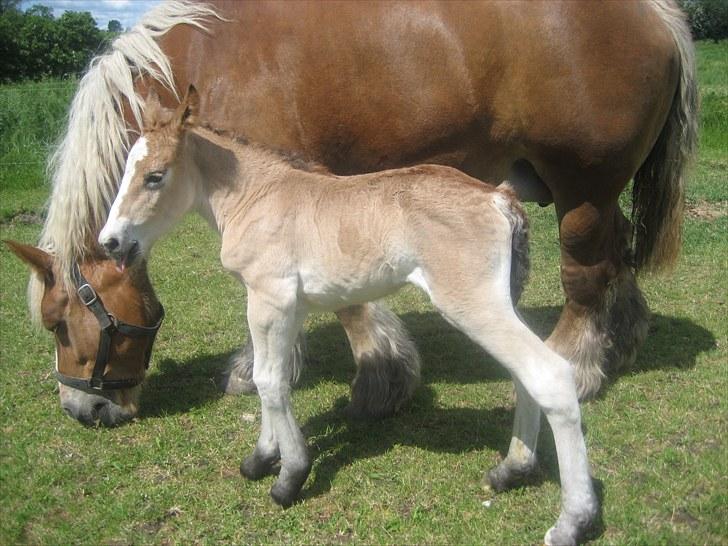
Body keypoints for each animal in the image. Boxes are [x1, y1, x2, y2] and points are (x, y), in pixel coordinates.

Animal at [28, 0, 696, 424]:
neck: (202, 64)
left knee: (585, 274)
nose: (84, 410)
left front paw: (381, 378)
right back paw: (623, 337)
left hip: (582, 191)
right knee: (617, 253)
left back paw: (579, 364)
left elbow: (347, 305)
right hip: (597, 194)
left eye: (59, 323)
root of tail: (654, 13)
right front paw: (259, 365)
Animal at [98, 87, 596, 540]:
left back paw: (572, 520)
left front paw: (290, 477)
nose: (111, 242)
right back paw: (511, 470)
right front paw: (262, 458)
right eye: (126, 170)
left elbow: (267, 380)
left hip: (472, 304)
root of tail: (499, 196)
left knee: (550, 373)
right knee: (523, 373)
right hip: (497, 302)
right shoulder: (283, 305)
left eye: (155, 176)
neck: (257, 196)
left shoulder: (269, 299)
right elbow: (271, 376)